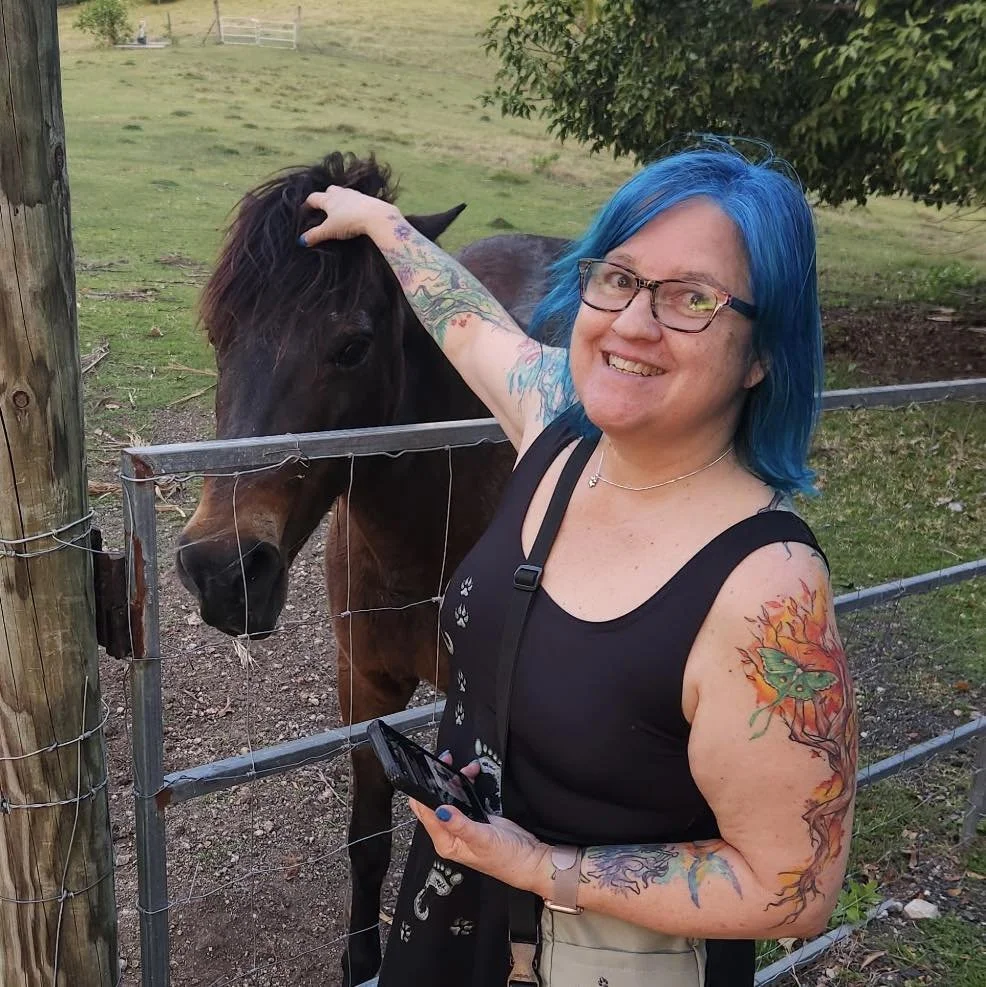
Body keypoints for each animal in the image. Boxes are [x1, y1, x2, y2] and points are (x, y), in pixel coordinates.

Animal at [175, 152, 567, 986]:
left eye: (352, 346)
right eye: (218, 333)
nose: (223, 572)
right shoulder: (363, 683)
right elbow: (367, 838)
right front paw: (361, 957)